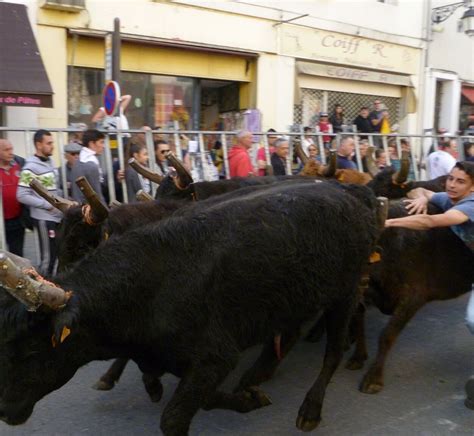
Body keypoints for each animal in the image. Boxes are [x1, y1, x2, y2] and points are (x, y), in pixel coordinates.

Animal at [0, 182, 380, 434]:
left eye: (32, 350)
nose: (4, 411)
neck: (147, 287)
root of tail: (349, 194)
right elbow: (205, 397)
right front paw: (248, 398)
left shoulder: (216, 356)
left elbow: (173, 417)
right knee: (287, 335)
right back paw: (257, 374)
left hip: (345, 293)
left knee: (333, 351)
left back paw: (312, 407)